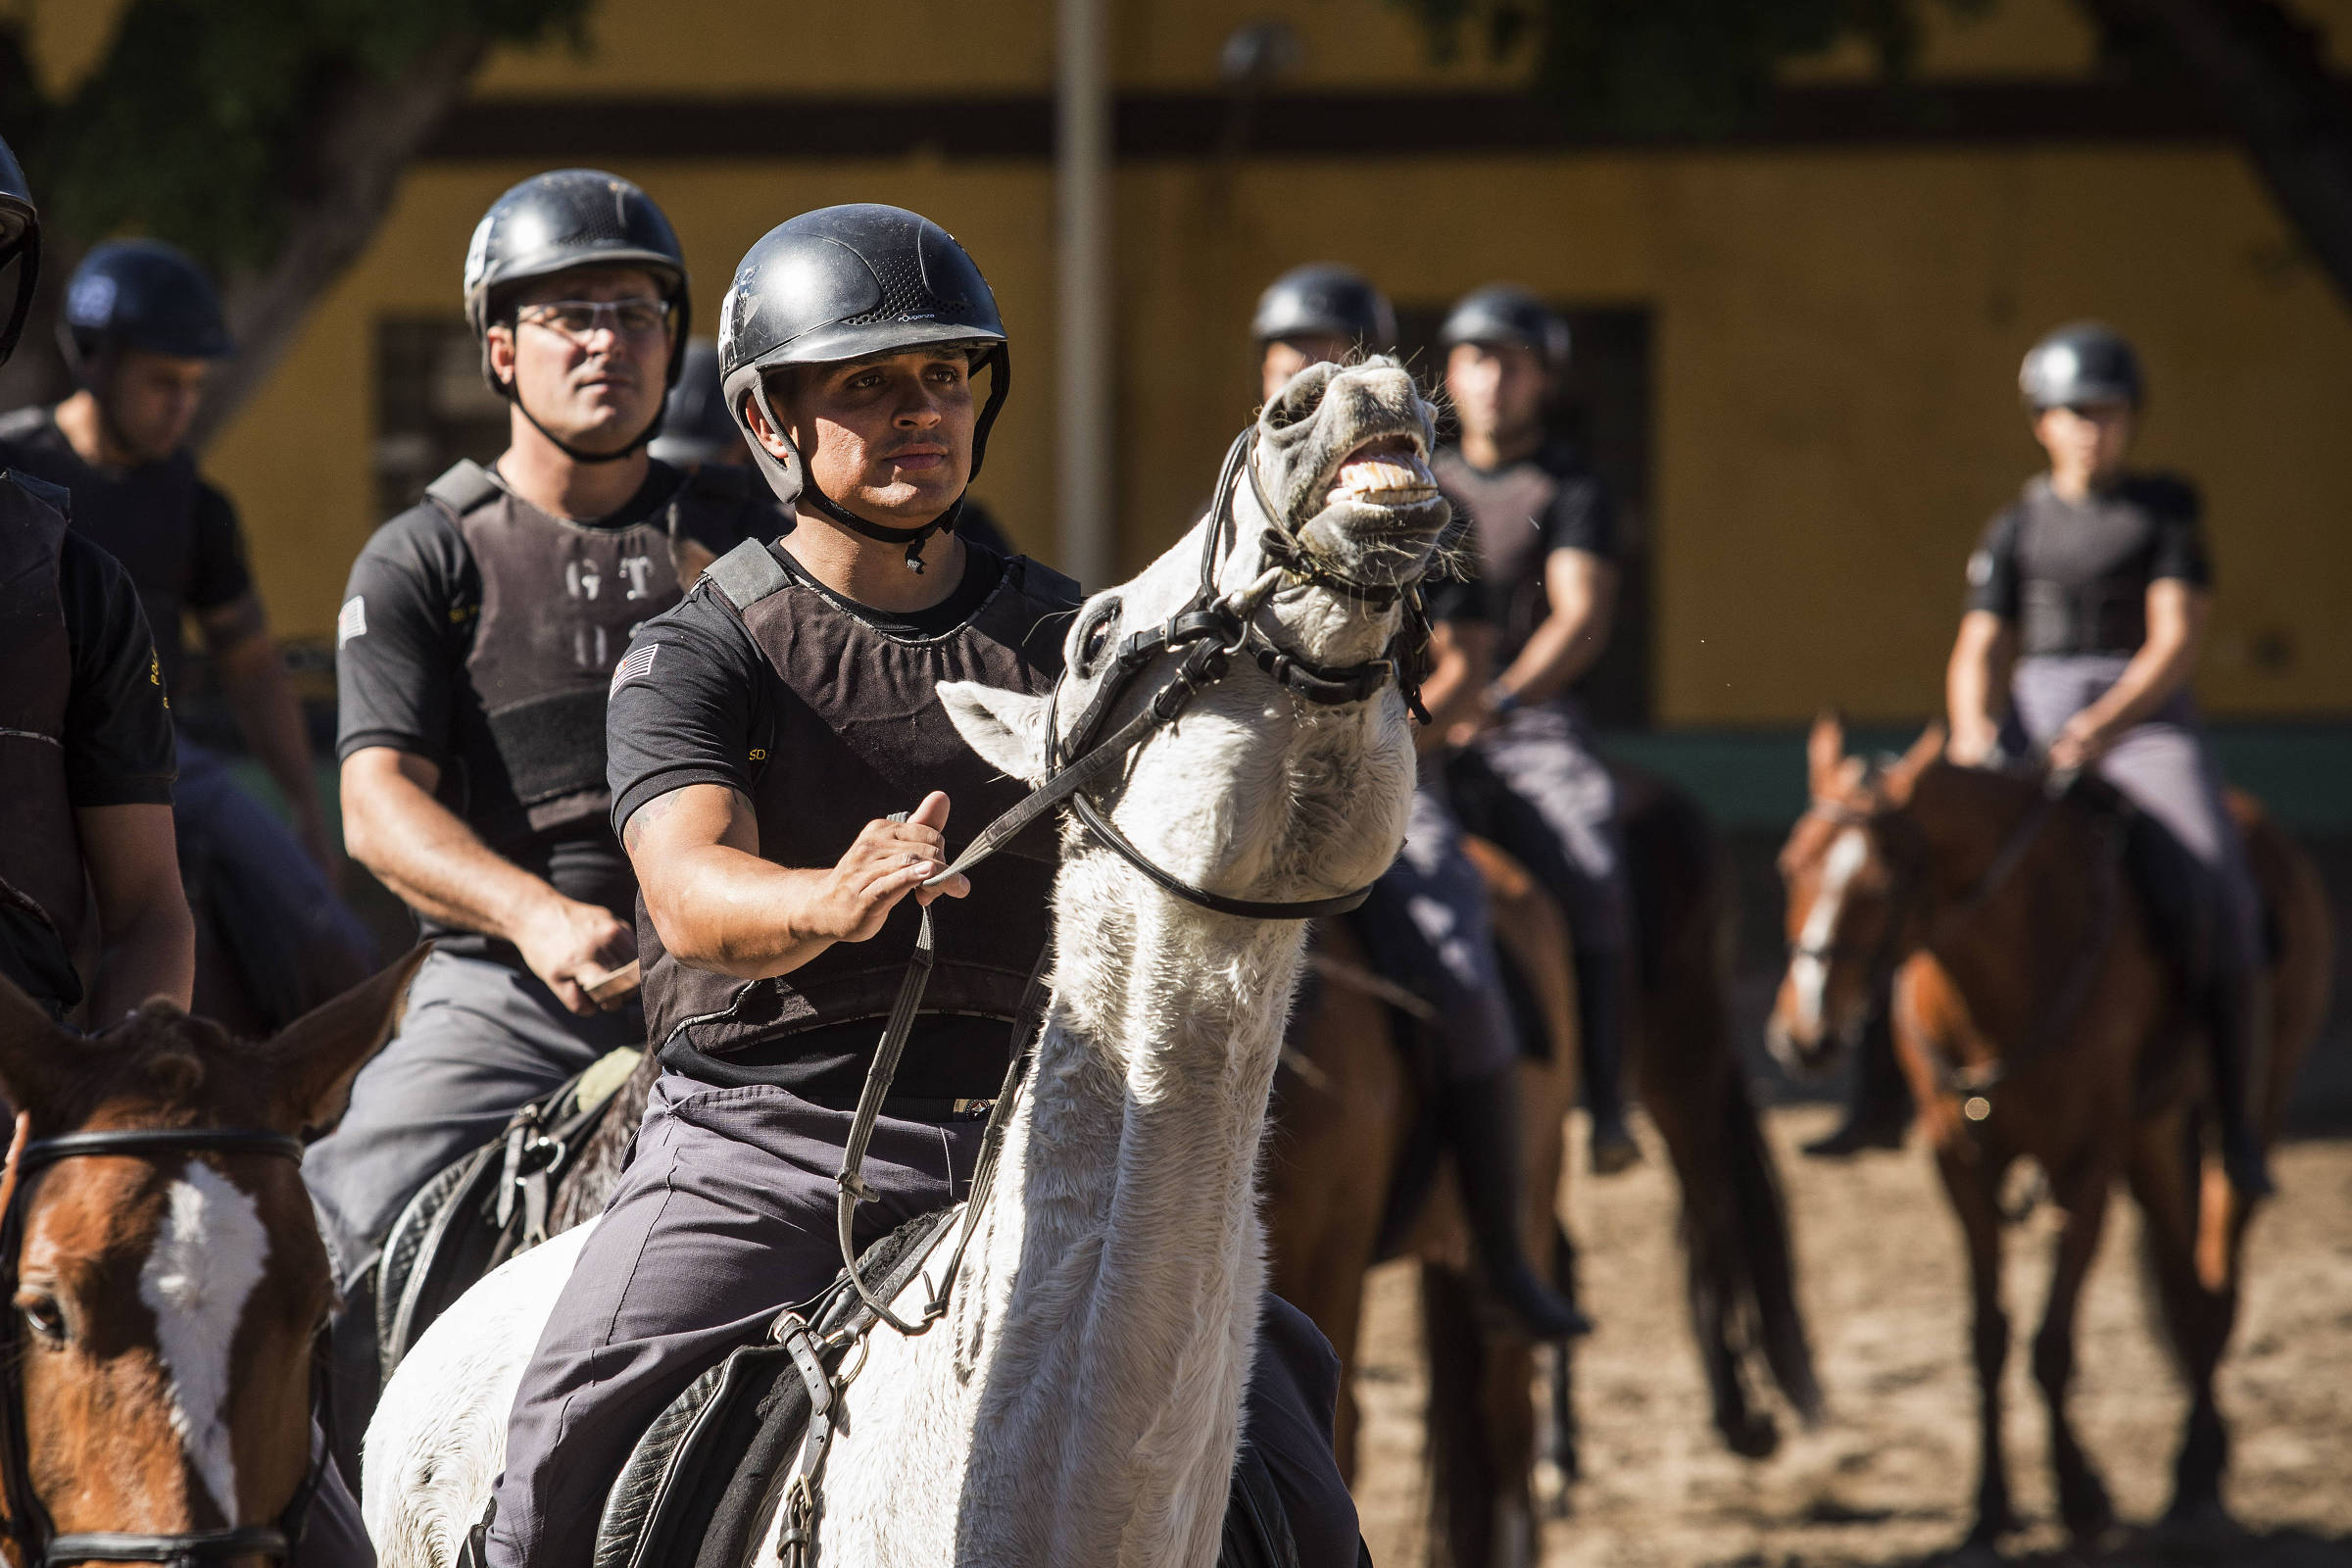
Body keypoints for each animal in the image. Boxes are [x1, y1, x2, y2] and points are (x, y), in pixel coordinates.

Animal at [1768, 719, 2332, 1551]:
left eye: (1882, 884)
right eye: (1790, 868)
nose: (1805, 1035)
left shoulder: (2086, 1162)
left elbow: (2053, 1343)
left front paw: (2078, 1497)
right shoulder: (1960, 1162)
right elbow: (1989, 1336)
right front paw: (1990, 1507)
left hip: (2245, 1107)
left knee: (2216, 1280)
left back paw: (2196, 1476)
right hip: (2153, 1132)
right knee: (2185, 1283)